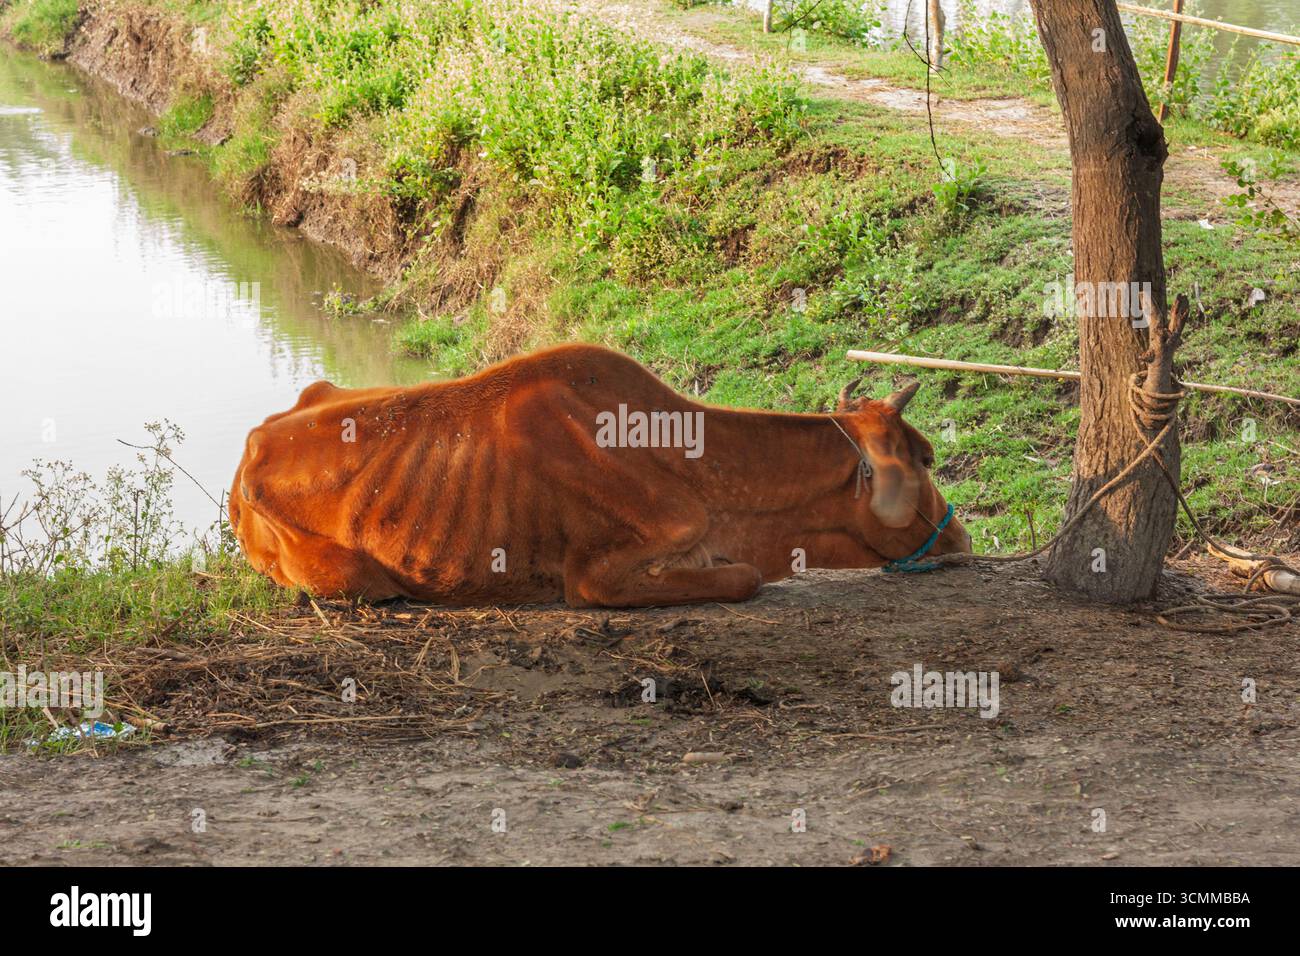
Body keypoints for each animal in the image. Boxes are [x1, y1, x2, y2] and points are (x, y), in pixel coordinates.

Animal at [229, 343, 971, 607]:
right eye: (925, 456)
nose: (962, 536)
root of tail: (249, 449)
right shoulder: (597, 575)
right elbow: (744, 578)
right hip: (351, 578)